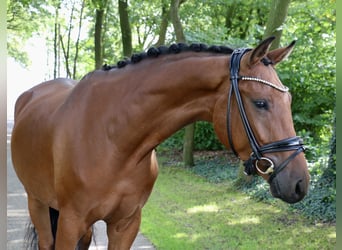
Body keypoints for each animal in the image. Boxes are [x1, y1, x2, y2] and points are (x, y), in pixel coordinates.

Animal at [10, 36, 310, 249]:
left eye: (289, 100)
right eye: (261, 103)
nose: (300, 182)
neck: (114, 141)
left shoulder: (126, 224)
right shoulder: (70, 222)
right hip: (37, 202)